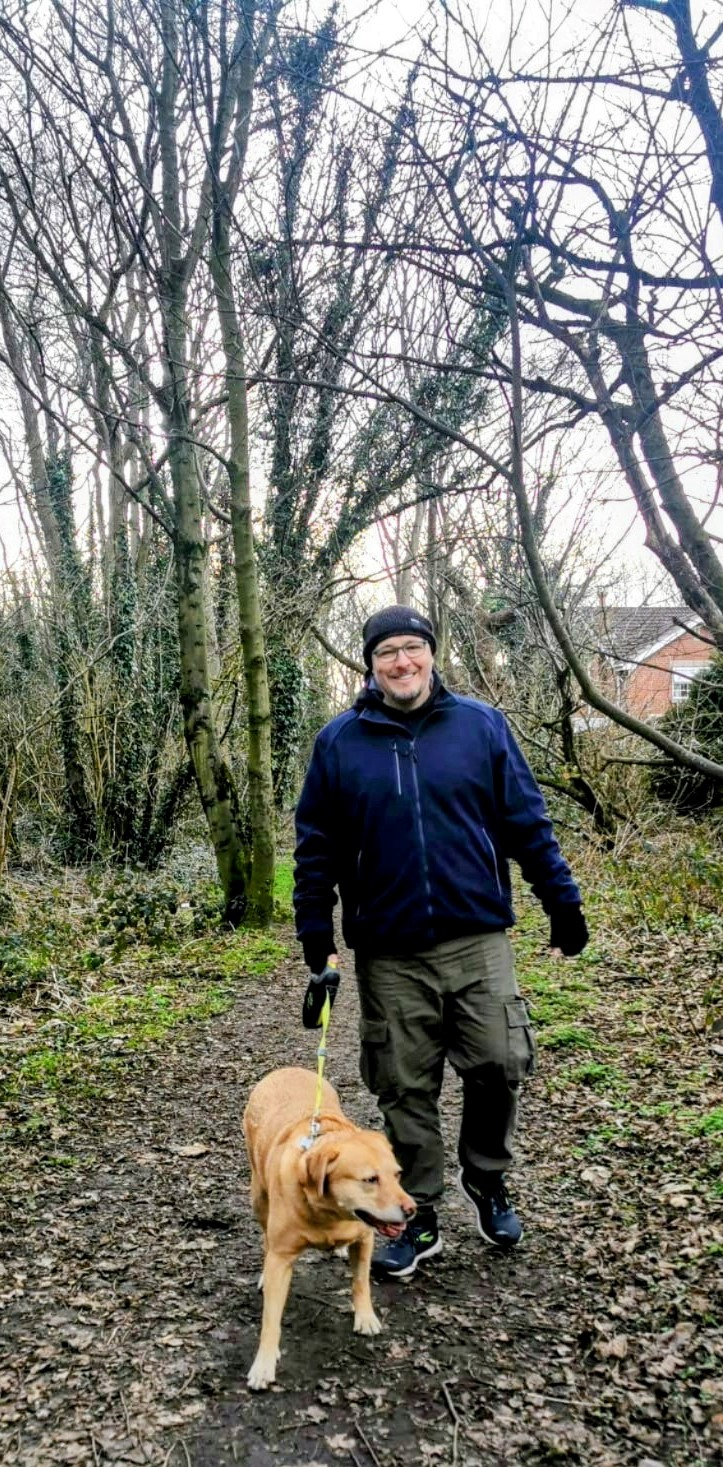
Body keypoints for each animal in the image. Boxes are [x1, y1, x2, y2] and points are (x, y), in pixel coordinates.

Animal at [241, 1067, 413, 1384]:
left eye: (397, 1174)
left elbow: (361, 1282)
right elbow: (271, 1318)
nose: (412, 1210)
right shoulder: (281, 1257)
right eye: (370, 1179)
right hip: (258, 1197)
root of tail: (286, 1069)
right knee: (265, 1237)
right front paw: (264, 1363)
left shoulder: (365, 1240)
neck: (330, 1214)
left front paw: (366, 1317)